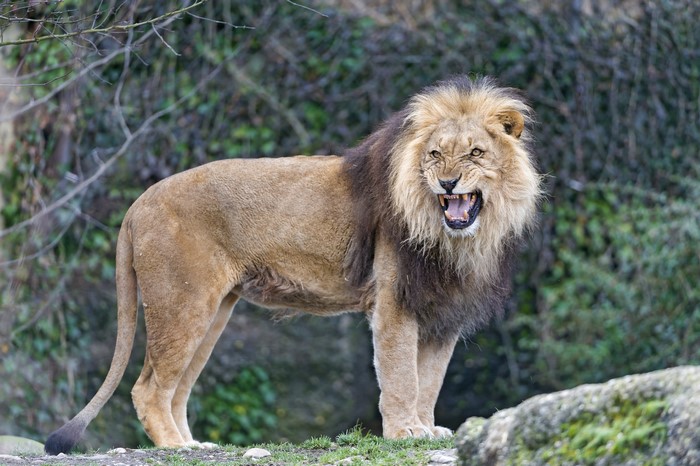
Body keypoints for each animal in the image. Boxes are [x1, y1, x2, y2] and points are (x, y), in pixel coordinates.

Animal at [45, 75, 541, 454]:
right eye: (435, 154)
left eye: (476, 153)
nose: (448, 182)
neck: (453, 239)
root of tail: (139, 203)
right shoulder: (394, 303)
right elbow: (402, 375)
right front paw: (404, 432)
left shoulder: (442, 312)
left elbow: (430, 379)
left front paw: (426, 428)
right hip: (182, 304)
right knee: (148, 388)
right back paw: (175, 448)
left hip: (212, 312)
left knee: (177, 388)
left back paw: (193, 444)